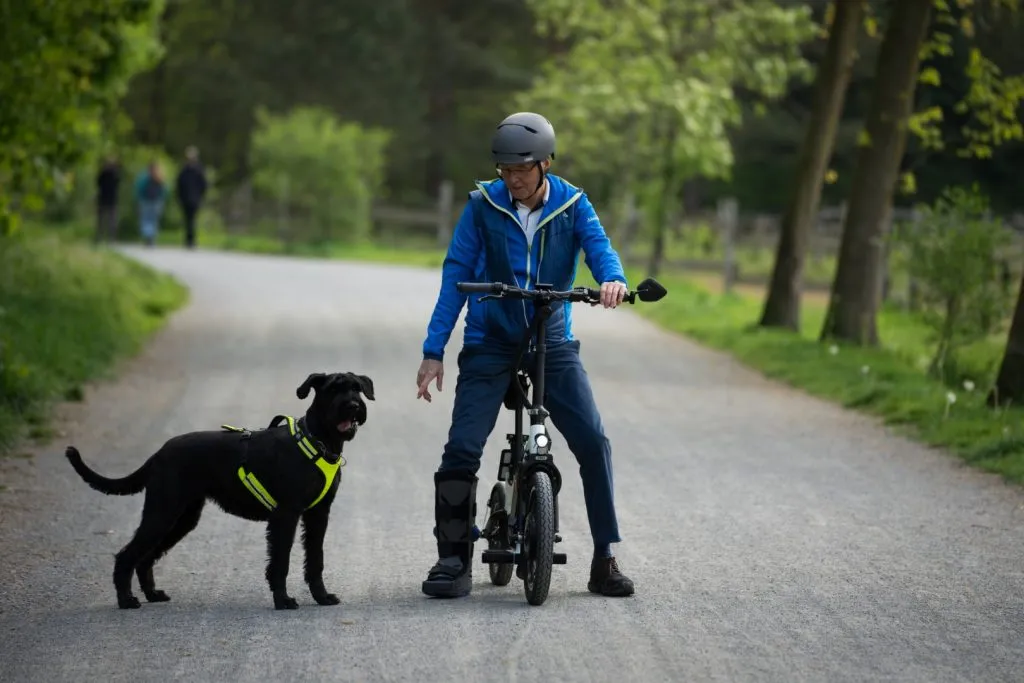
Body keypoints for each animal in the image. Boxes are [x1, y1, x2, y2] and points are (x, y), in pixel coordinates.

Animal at [61, 370, 372, 610]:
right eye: (333, 389)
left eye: (356, 388)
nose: (353, 405)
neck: (317, 441)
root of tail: (158, 454)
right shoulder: (286, 515)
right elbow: (280, 561)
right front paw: (283, 601)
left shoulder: (318, 515)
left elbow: (315, 560)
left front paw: (322, 597)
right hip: (162, 512)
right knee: (127, 555)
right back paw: (126, 600)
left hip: (181, 518)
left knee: (145, 557)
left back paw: (152, 595)